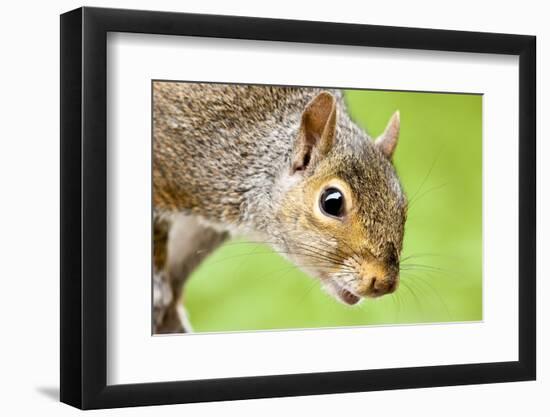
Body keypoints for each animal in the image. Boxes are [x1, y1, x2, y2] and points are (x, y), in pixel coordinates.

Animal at [153, 83, 408, 334]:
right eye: (332, 202)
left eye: (403, 206)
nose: (384, 283)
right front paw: (158, 291)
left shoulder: (203, 229)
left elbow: (180, 266)